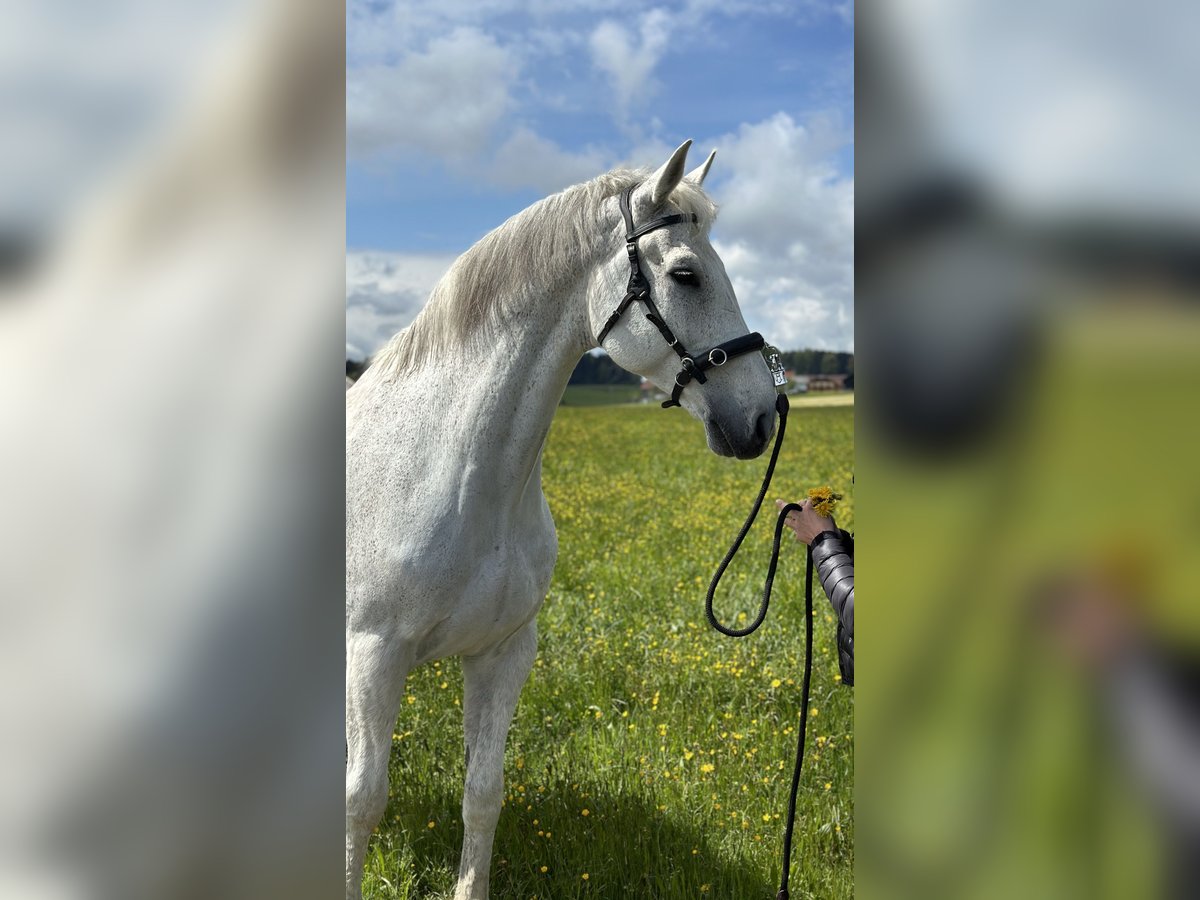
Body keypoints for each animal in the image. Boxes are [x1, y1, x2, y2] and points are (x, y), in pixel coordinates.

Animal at [348, 141, 777, 900]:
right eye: (686, 274)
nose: (763, 415)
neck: (454, 473)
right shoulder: (374, 654)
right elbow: (362, 799)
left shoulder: (505, 652)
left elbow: (482, 794)